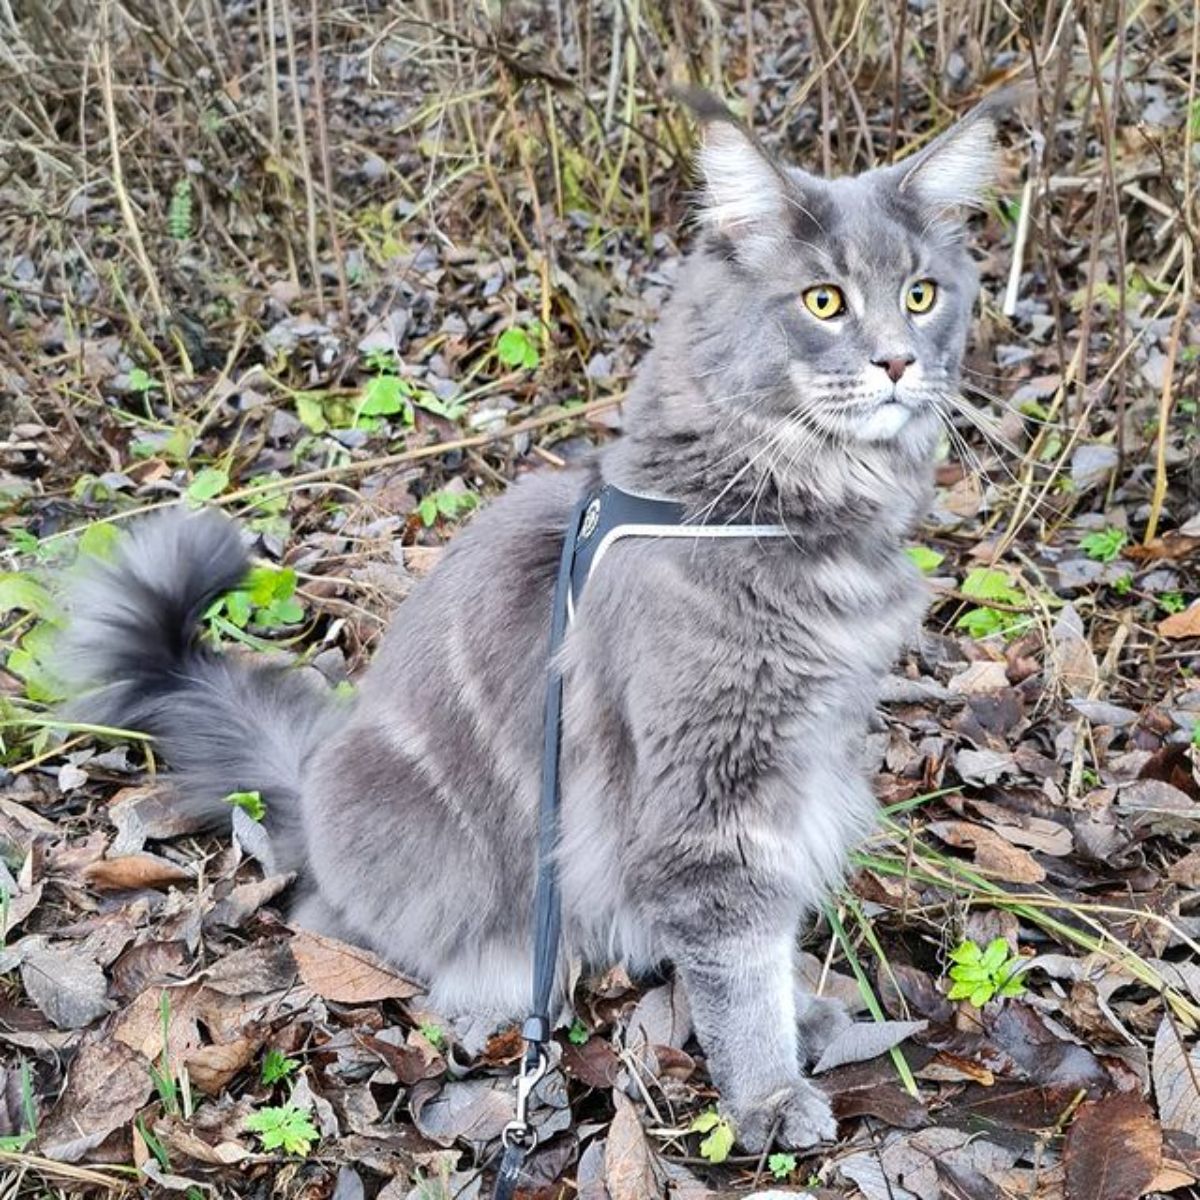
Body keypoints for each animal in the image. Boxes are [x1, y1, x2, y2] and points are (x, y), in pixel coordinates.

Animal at [63, 96, 1003, 1152]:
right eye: (825, 303)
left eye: (920, 295)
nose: (897, 361)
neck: (757, 505)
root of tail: (309, 781)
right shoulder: (713, 798)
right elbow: (738, 961)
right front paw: (765, 1094)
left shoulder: (801, 766)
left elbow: (771, 934)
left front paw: (800, 1018)